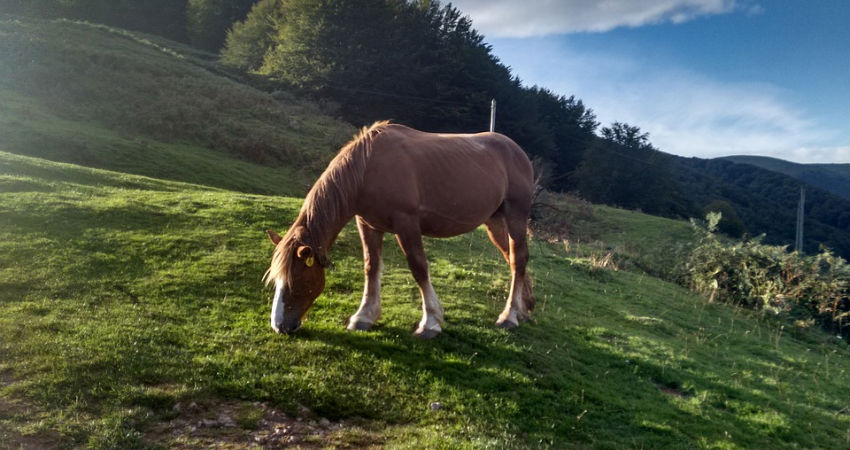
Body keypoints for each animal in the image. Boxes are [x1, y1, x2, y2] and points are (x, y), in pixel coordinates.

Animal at [262, 119, 532, 338]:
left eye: (296, 278)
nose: (279, 326)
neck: (367, 168)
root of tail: (518, 152)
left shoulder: (406, 223)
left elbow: (419, 268)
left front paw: (430, 322)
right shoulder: (367, 224)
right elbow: (371, 267)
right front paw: (363, 317)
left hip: (516, 215)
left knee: (518, 258)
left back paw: (509, 316)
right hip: (494, 221)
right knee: (512, 259)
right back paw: (524, 308)